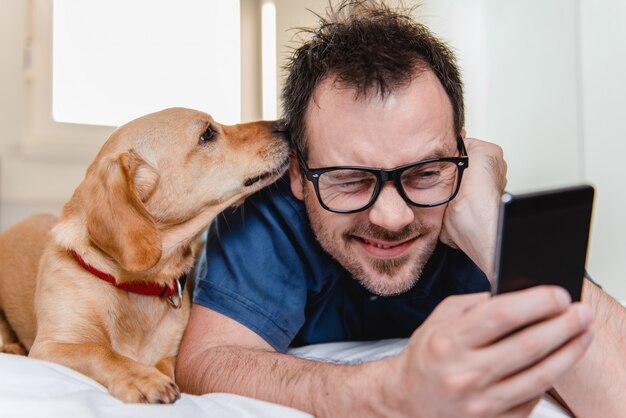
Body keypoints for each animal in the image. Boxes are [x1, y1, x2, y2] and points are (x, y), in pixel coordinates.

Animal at [0, 107, 288, 402]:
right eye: (207, 133)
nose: (284, 125)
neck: (136, 286)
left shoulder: (172, 356)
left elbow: (163, 364)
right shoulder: (52, 346)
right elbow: (101, 352)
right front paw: (141, 377)